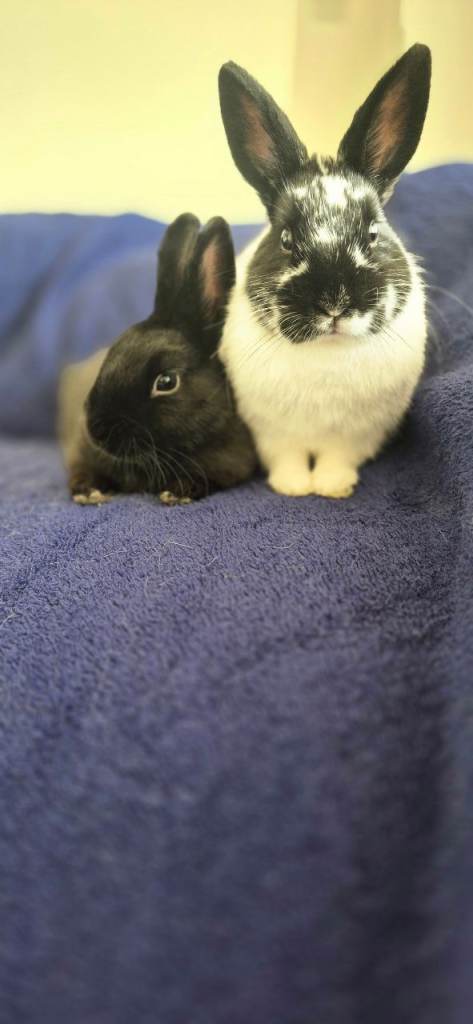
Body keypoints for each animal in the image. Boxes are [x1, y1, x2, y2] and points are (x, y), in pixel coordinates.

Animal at [58, 213, 257, 505]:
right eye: (112, 353)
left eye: (166, 382)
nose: (97, 431)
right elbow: (83, 471)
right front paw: (88, 491)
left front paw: (177, 492)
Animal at [217, 44, 432, 499]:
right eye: (285, 238)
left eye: (373, 233)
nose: (334, 303)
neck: (326, 354)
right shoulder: (272, 433)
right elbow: (288, 459)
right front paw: (294, 487)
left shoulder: (356, 435)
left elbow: (337, 459)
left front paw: (333, 487)